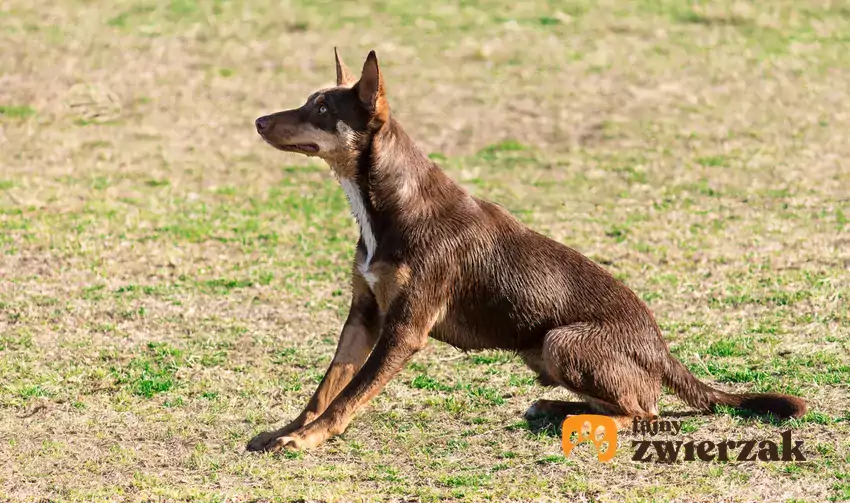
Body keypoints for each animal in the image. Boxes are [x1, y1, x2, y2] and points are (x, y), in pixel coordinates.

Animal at [247, 50, 808, 452]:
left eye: (322, 109)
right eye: (309, 101)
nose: (258, 121)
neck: (386, 202)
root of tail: (662, 349)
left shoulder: (404, 329)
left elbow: (348, 396)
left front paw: (307, 439)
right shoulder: (363, 315)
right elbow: (325, 388)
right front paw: (286, 430)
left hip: (563, 341)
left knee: (643, 411)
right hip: (543, 352)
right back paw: (554, 409)